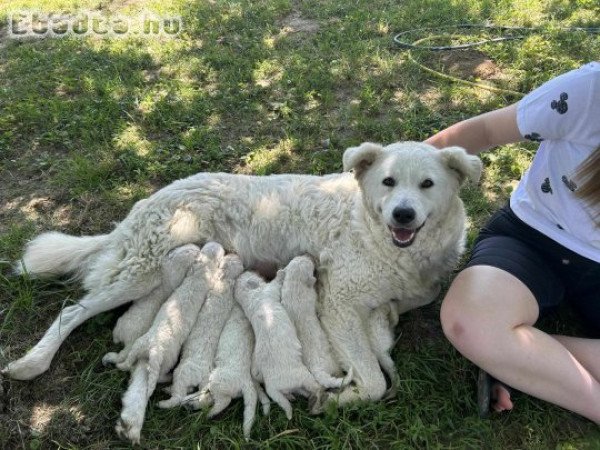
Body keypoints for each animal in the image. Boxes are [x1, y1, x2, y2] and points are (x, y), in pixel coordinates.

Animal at [234, 268, 324, 420]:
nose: (245, 270)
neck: (250, 299)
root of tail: (272, 387)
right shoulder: (269, 290)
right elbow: (276, 282)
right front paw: (281, 272)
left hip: (287, 389)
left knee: (290, 396)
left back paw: (294, 399)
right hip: (303, 376)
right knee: (315, 387)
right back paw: (318, 399)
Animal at [282, 256, 352, 390]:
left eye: (300, 258)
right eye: (309, 264)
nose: (307, 255)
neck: (294, 283)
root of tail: (316, 369)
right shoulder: (311, 297)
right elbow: (317, 302)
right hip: (332, 362)